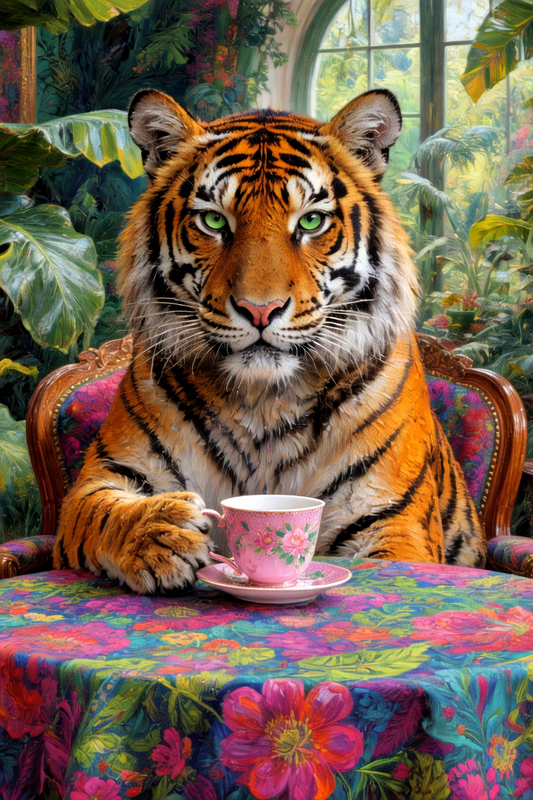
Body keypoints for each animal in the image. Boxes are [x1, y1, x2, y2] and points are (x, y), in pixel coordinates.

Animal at [53, 87, 486, 593]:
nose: (260, 310)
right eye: (214, 222)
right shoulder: (103, 477)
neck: (262, 400)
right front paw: (160, 535)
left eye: (312, 221)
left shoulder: (392, 519)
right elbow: (104, 513)